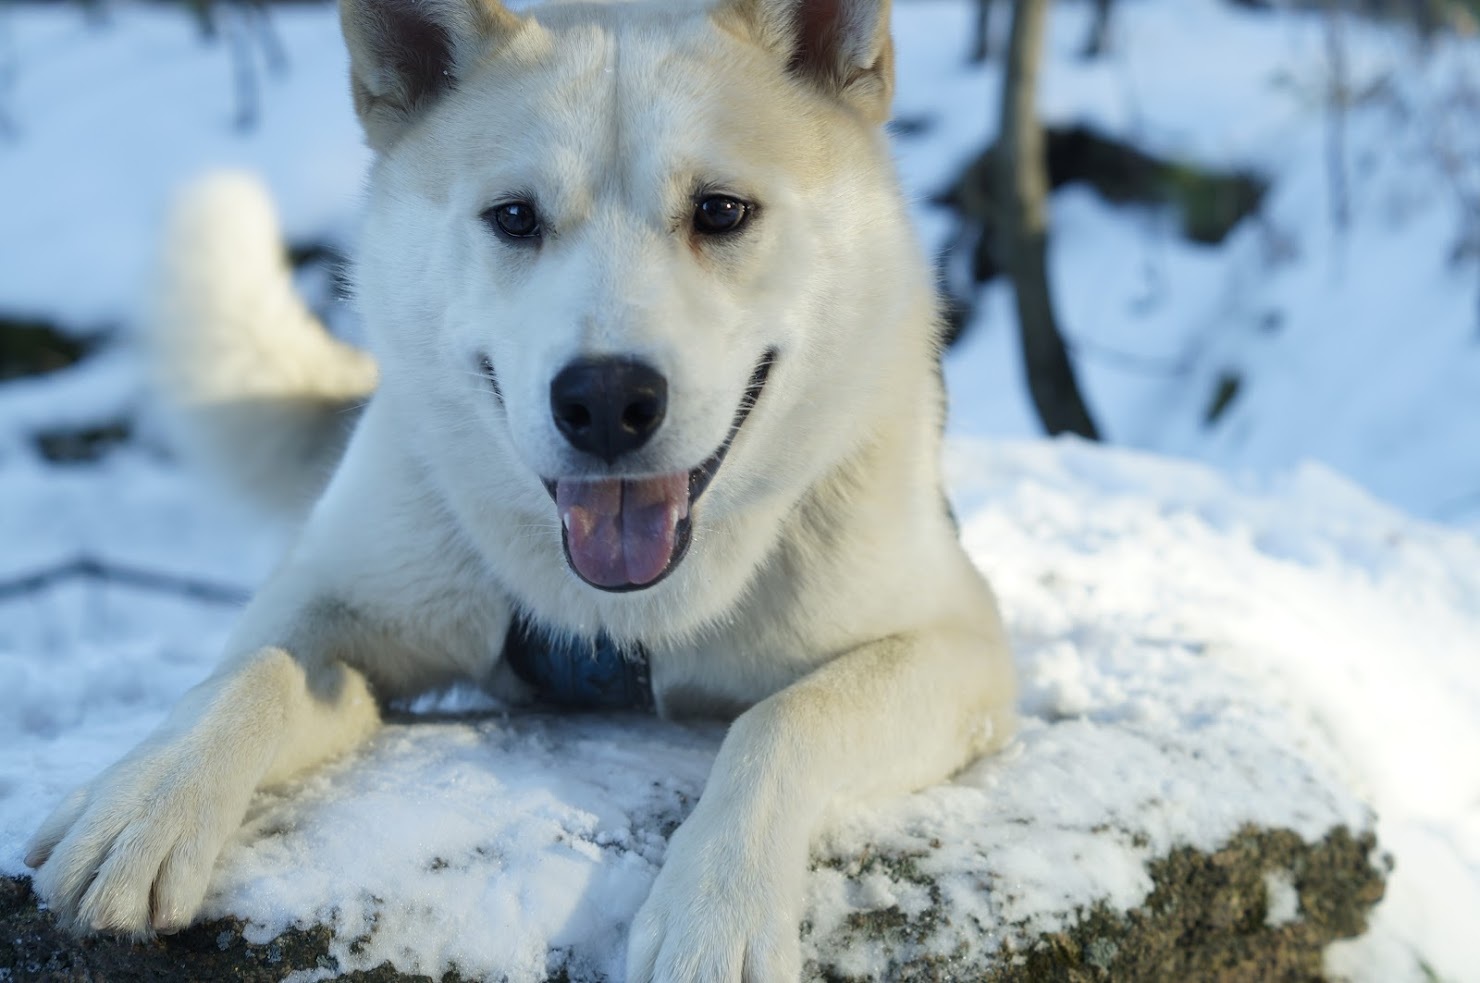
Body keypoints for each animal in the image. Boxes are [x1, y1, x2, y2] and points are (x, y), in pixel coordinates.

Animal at [26, 0, 1018, 977]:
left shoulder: (962, 644)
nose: (607, 400)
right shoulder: (331, 602)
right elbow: (250, 672)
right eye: (514, 217)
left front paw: (719, 908)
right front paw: (147, 799)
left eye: (721, 211)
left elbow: (785, 718)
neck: (620, 615)